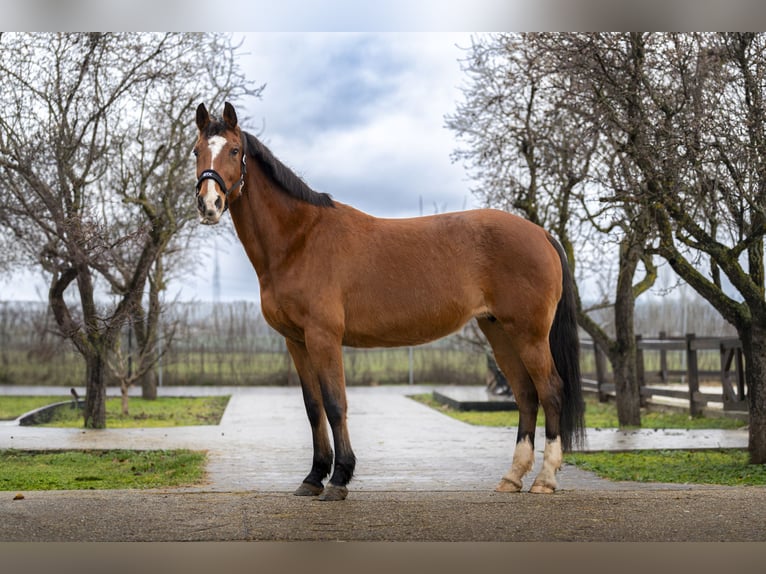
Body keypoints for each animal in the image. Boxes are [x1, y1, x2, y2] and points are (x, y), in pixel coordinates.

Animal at [193, 102, 585, 501]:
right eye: (196, 151)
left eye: (234, 151)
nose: (209, 203)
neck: (300, 239)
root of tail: (540, 233)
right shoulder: (296, 341)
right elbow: (313, 407)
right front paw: (314, 477)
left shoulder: (323, 337)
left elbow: (335, 404)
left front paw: (339, 478)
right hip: (499, 331)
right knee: (526, 394)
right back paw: (512, 477)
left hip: (529, 333)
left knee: (551, 391)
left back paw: (544, 479)